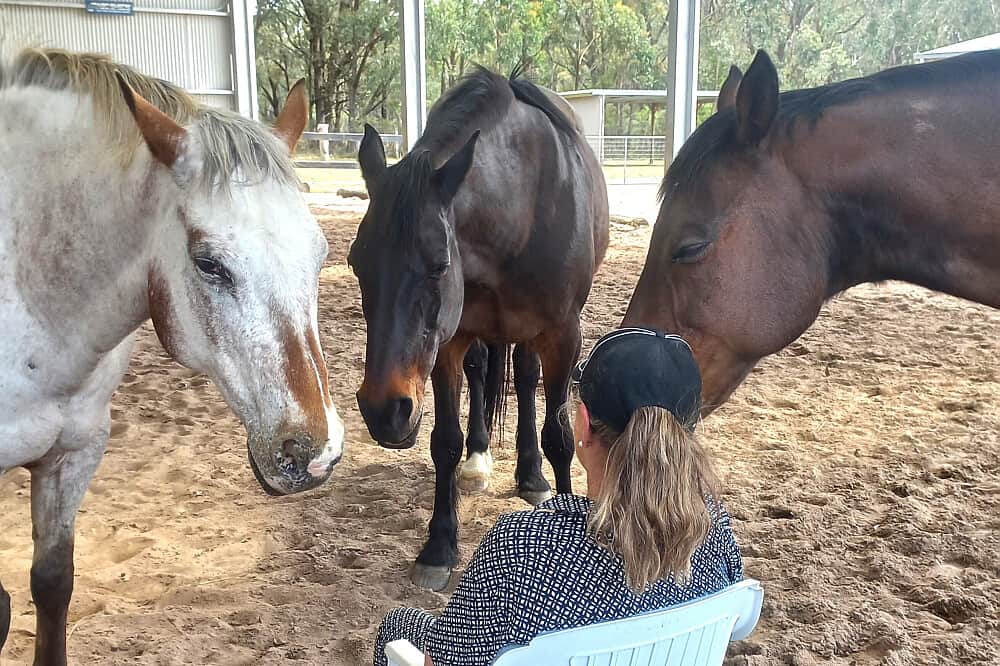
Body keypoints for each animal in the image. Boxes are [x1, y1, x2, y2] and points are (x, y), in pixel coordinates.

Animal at [351, 67, 609, 589]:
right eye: (355, 264)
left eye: (438, 265)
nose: (383, 411)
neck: (522, 207)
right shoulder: (447, 343)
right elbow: (445, 441)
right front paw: (439, 545)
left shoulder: (563, 336)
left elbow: (559, 436)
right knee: (483, 373)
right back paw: (480, 460)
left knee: (525, 379)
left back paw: (530, 475)